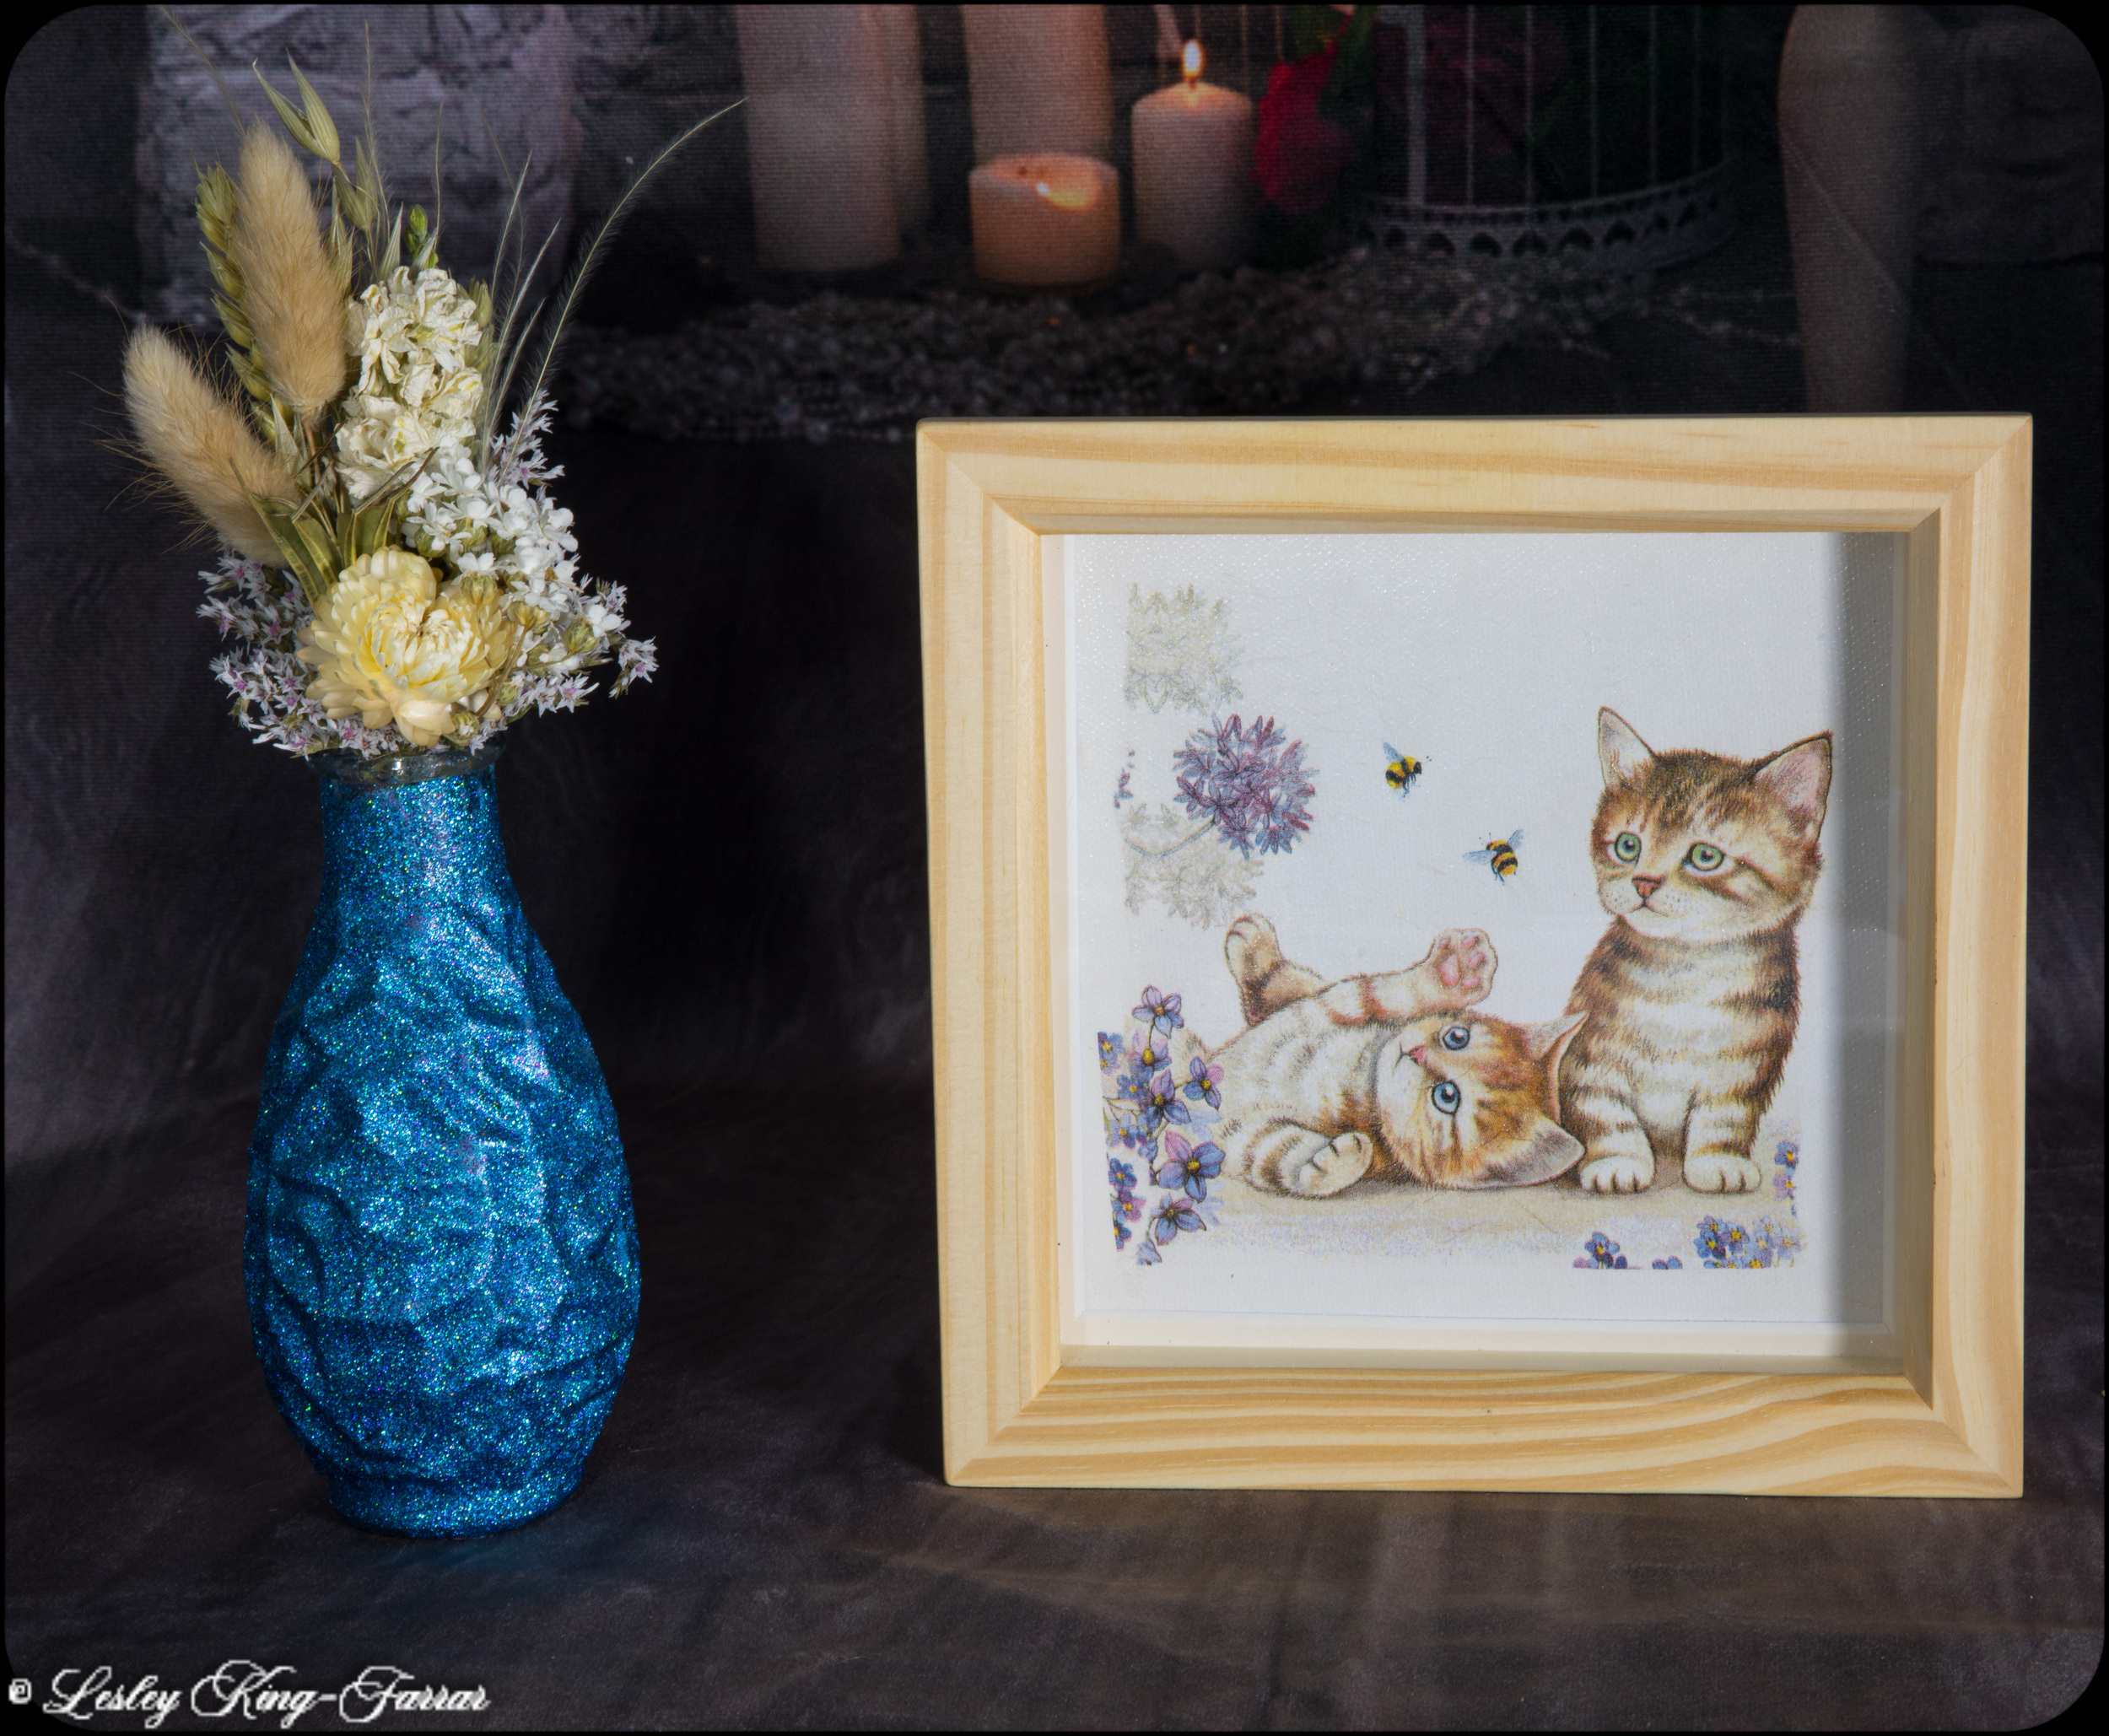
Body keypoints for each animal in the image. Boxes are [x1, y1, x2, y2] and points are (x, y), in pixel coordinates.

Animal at [1208, 915, 1588, 1196]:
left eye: (1447, 1096)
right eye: (1456, 1037)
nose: (1414, 1053)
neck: (1359, 1074)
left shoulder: (1236, 1129)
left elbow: (1268, 1153)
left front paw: (1336, 1165)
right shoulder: (1328, 1010)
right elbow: (1372, 993)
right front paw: (1451, 972)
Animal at [1562, 707, 1832, 1194]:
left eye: (1706, 856)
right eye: (1628, 845)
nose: (1644, 882)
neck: (1685, 973)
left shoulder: (1747, 1063)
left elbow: (1725, 1117)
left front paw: (1718, 1160)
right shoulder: (1588, 1049)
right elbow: (1602, 1107)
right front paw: (1617, 1160)